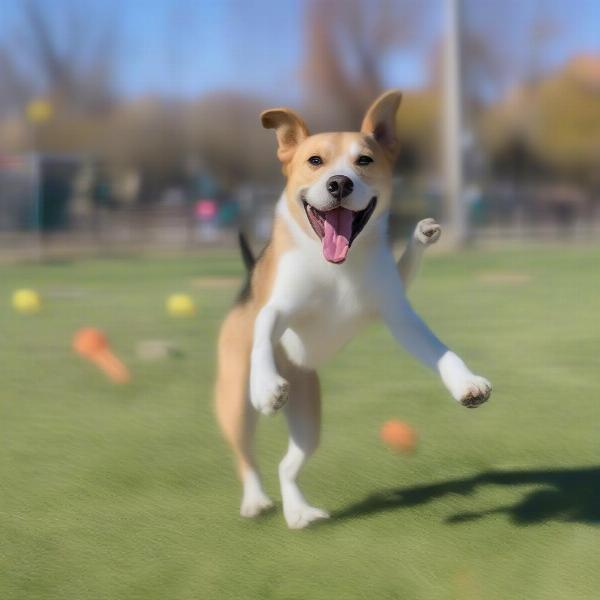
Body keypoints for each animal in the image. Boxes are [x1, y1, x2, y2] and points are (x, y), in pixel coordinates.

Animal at [216, 90, 492, 528]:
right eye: (315, 160)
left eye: (364, 160)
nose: (339, 183)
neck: (337, 267)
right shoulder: (280, 309)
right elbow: (265, 326)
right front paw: (267, 386)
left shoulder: (397, 313)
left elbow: (441, 351)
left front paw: (466, 384)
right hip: (233, 403)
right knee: (247, 458)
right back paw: (256, 499)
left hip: (309, 417)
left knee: (286, 466)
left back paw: (299, 512)